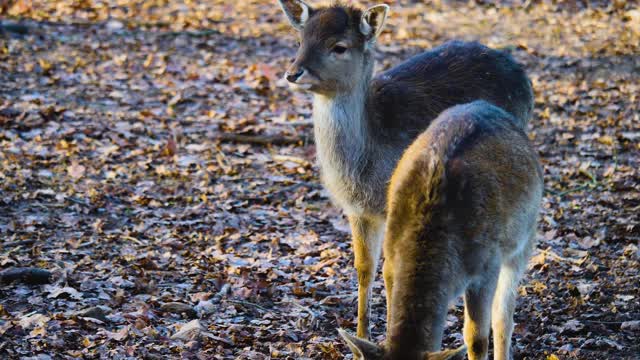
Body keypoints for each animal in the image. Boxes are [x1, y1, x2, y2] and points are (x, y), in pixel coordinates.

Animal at [278, 0, 532, 338]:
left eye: (339, 47)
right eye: (300, 40)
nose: (293, 72)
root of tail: (522, 75)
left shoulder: (394, 206)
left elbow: (390, 271)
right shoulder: (357, 210)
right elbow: (364, 267)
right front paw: (361, 335)